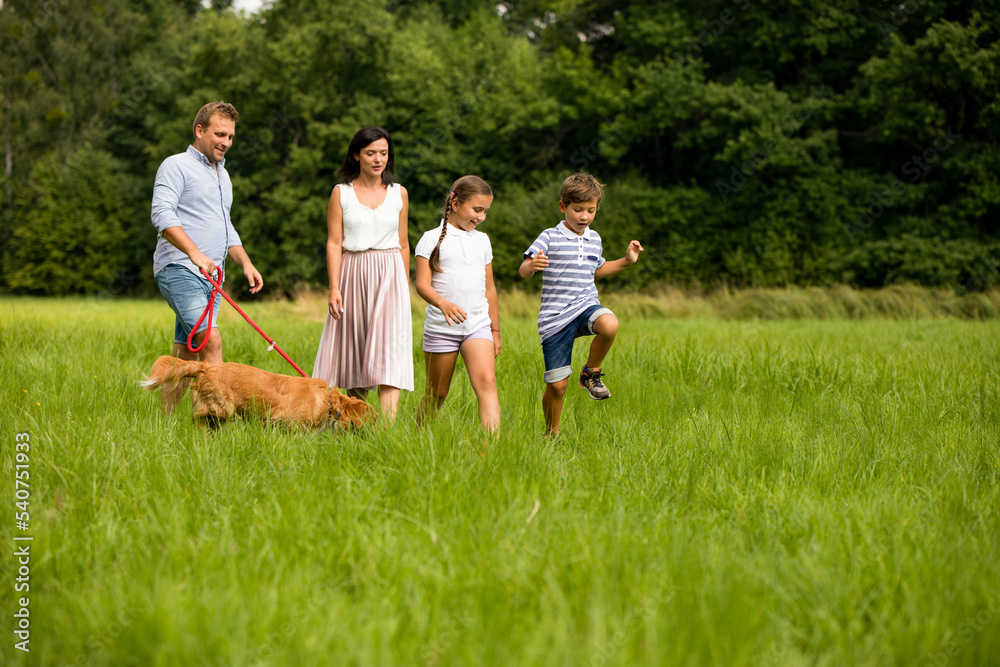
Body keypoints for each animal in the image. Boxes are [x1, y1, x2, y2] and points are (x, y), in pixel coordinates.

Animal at [142, 358, 376, 430]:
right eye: (373, 419)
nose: (381, 433)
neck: (328, 402)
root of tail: (205, 366)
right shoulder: (280, 420)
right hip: (222, 407)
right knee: (199, 417)